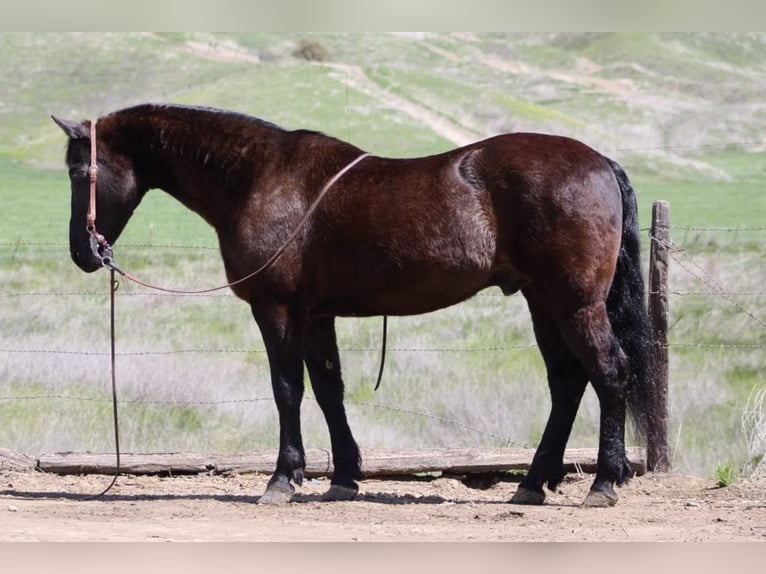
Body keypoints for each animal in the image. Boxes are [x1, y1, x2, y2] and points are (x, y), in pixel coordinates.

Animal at [52, 103, 658, 507]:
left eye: (79, 172)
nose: (83, 253)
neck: (259, 178)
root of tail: (599, 162)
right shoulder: (317, 315)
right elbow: (328, 388)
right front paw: (343, 477)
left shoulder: (276, 309)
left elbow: (287, 388)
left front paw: (282, 479)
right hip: (543, 302)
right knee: (567, 382)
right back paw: (533, 483)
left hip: (575, 305)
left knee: (609, 372)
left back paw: (604, 481)